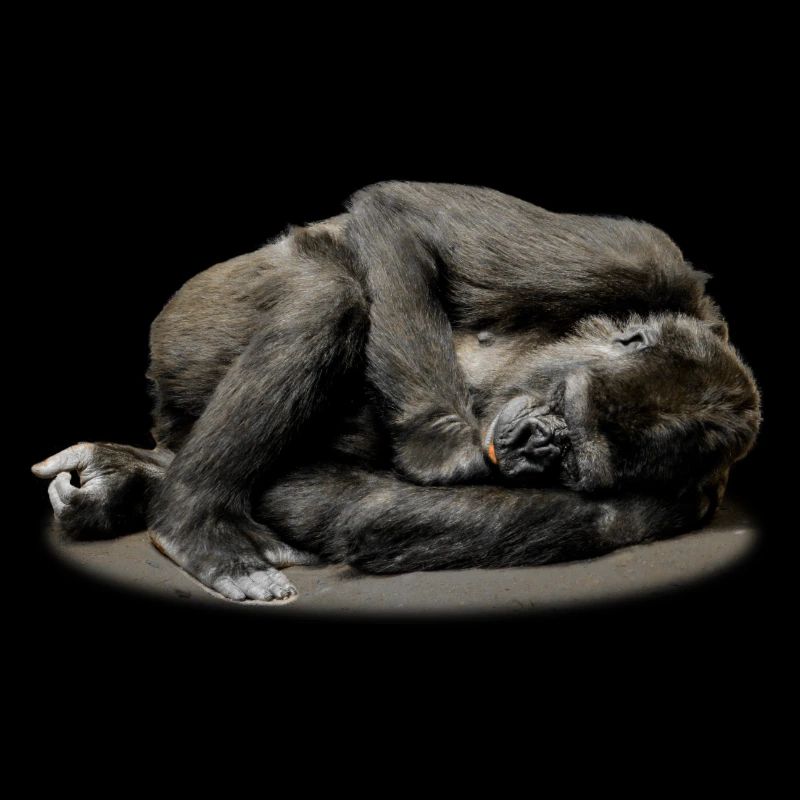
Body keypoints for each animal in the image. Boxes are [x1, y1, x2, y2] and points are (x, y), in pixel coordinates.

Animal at [32, 182, 761, 601]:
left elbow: (365, 513)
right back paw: (191, 522)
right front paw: (447, 449)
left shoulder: (679, 504)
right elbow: (403, 216)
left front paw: (133, 481)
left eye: (577, 460)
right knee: (328, 293)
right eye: (562, 403)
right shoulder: (646, 257)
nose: (541, 443)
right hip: (186, 323)